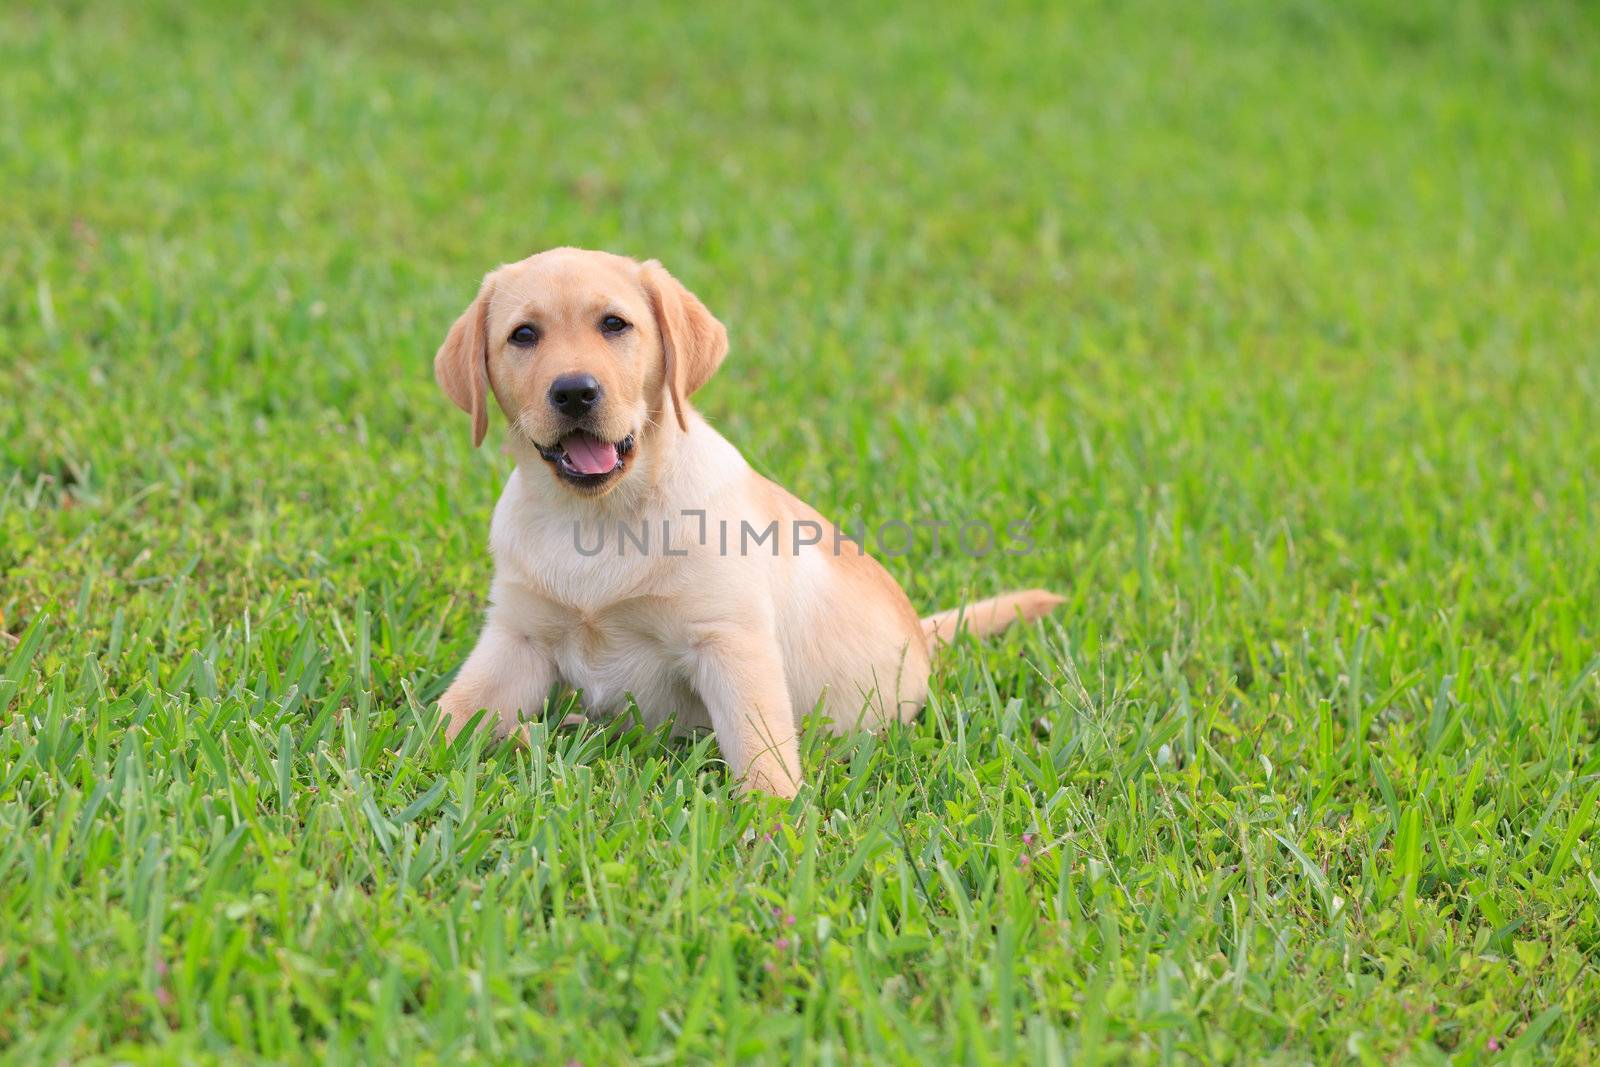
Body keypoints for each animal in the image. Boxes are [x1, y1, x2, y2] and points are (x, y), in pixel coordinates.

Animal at [438, 246, 1062, 796]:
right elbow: (448, 717)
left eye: (614, 324)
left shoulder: (730, 642)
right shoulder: (517, 637)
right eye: (523, 335)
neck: (597, 517)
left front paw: (774, 829)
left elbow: (760, 750)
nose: (574, 391)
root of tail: (922, 635)